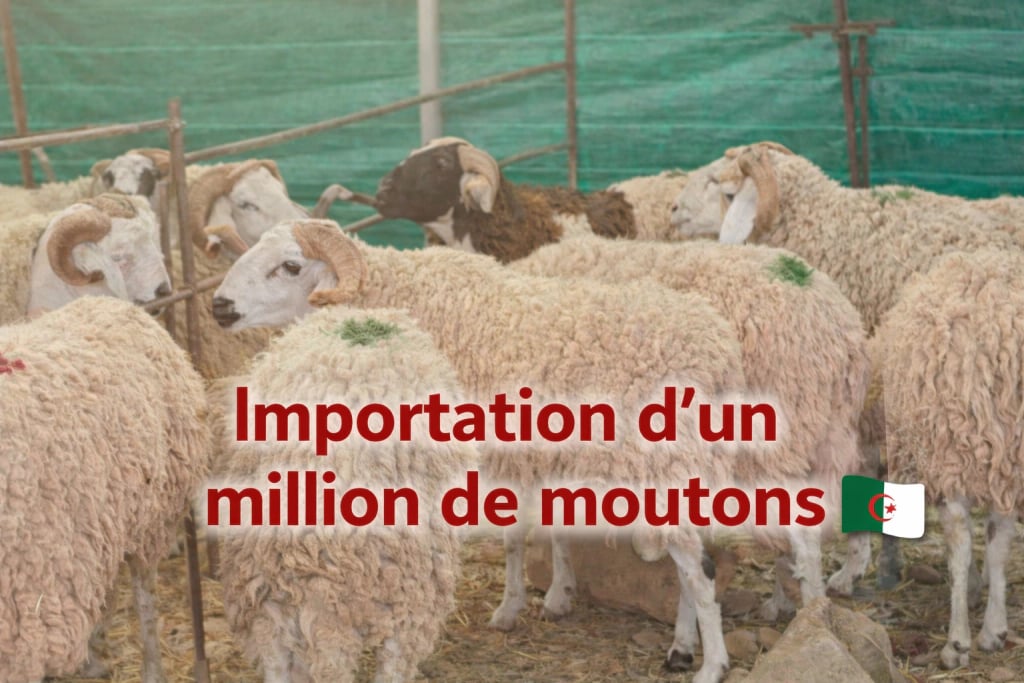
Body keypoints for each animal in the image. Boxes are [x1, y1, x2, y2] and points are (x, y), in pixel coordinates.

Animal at [0, 295, 210, 683]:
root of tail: (115, 303)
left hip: (152, 517)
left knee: (145, 593)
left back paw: (151, 668)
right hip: (103, 520)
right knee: (107, 585)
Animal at [511, 235, 871, 614]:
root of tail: (840, 327)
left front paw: (556, 592)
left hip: (775, 441)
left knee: (802, 531)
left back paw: (811, 606)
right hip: (828, 434)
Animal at [875, 247, 1024, 670]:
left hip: (948, 444)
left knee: (960, 538)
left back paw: (957, 641)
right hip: (1007, 452)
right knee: (1000, 535)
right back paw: (993, 629)